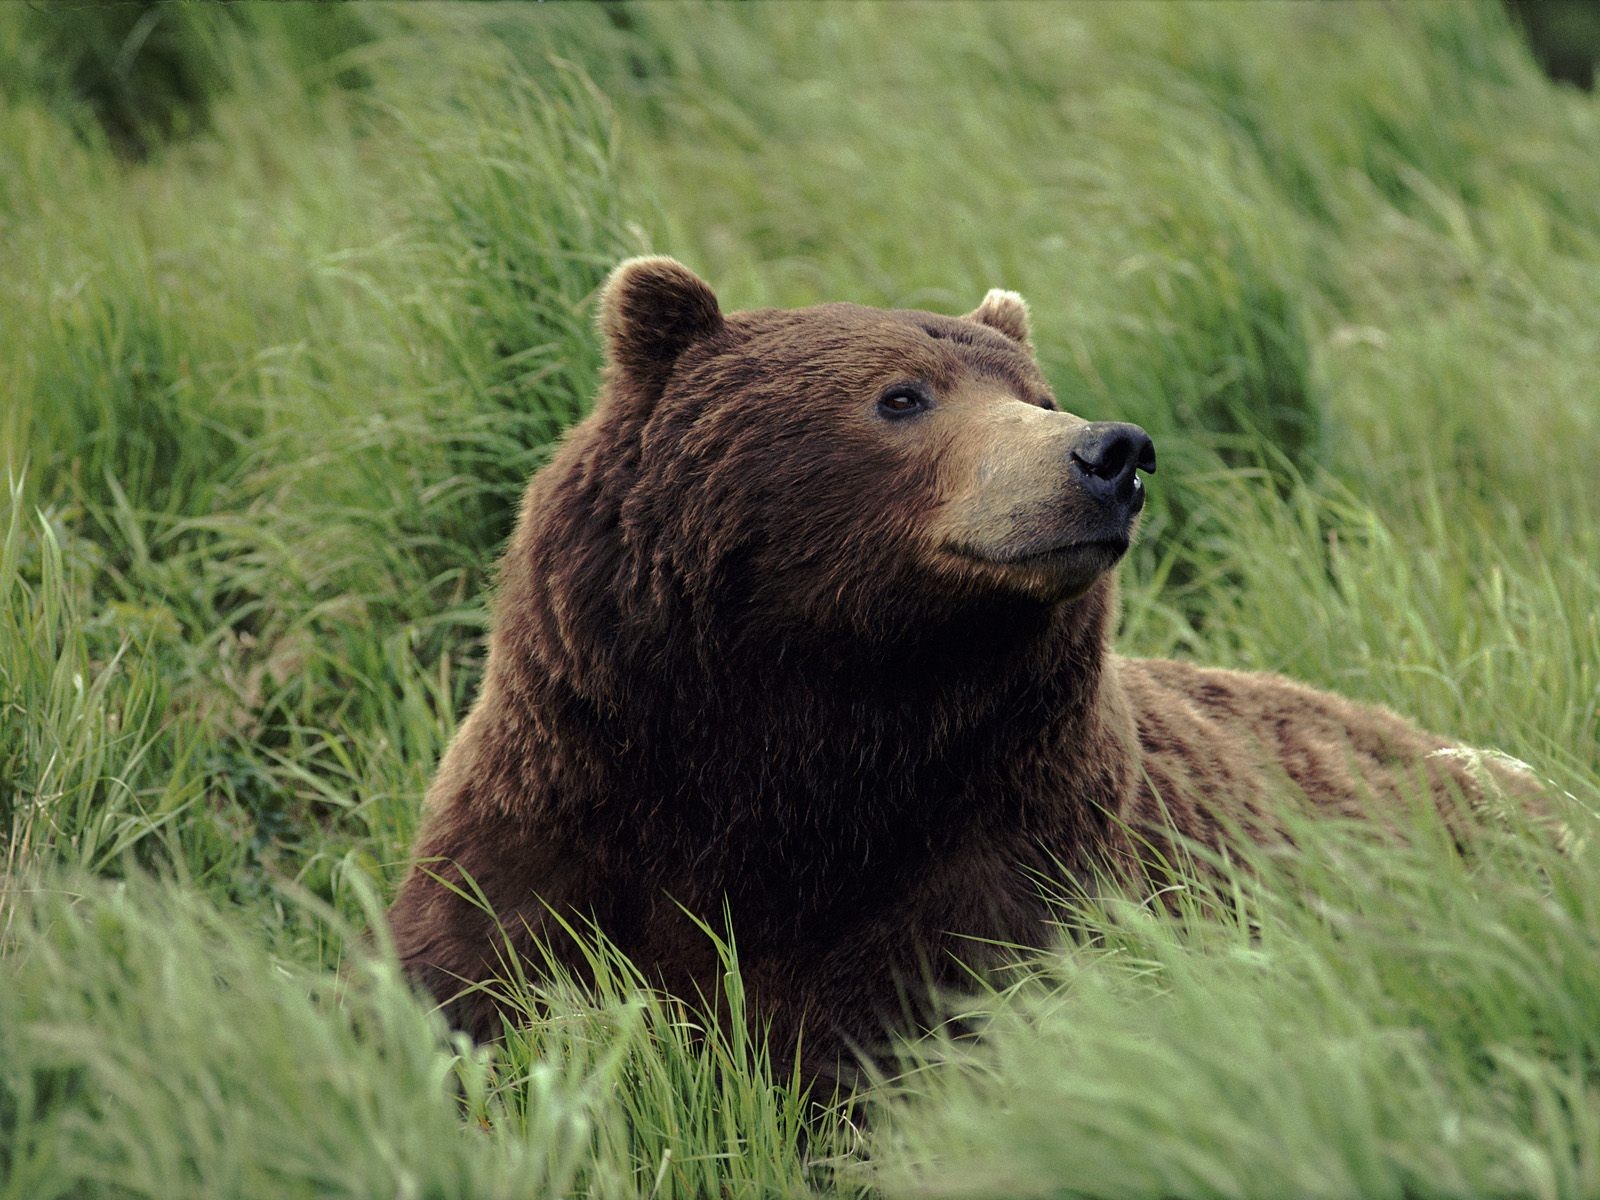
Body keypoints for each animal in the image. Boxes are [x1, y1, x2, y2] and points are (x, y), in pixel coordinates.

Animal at [386, 256, 1535, 1089]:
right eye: (902, 396)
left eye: (1039, 392)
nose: (1111, 453)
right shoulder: (572, 796)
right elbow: (483, 983)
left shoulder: (996, 842)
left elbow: (928, 1026)